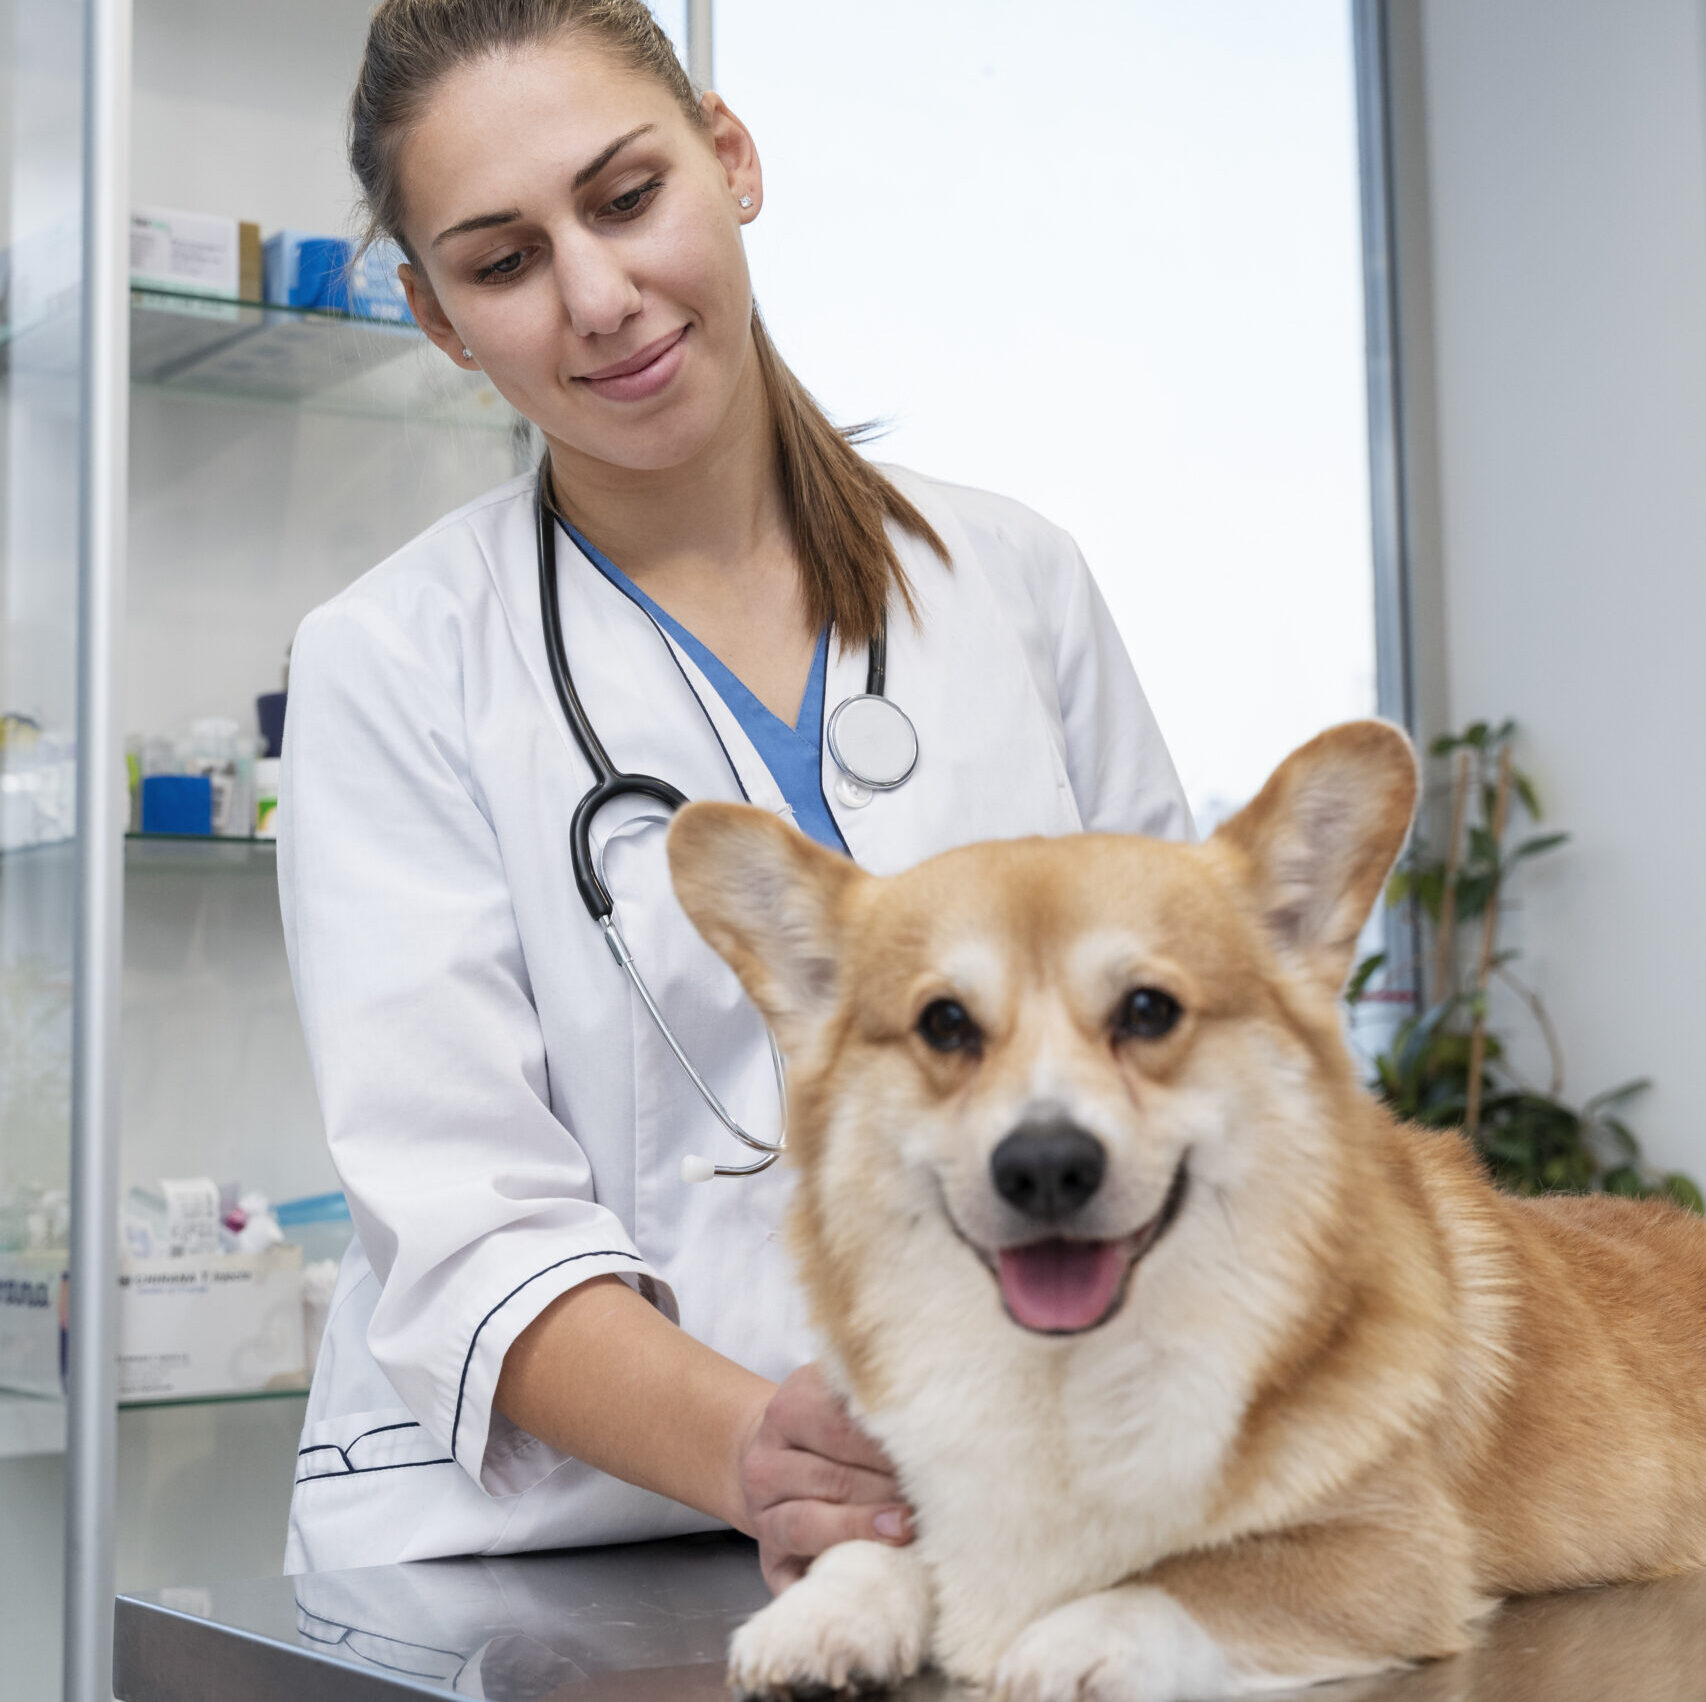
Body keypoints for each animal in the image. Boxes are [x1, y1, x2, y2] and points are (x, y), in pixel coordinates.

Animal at [665, 723, 1706, 1702]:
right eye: (945, 1025)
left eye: (1149, 1011)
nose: (1045, 1167)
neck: (1073, 1375)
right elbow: (886, 1547)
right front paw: (824, 1612)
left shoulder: (1393, 1553)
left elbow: (1192, 1580)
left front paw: (1070, 1640)